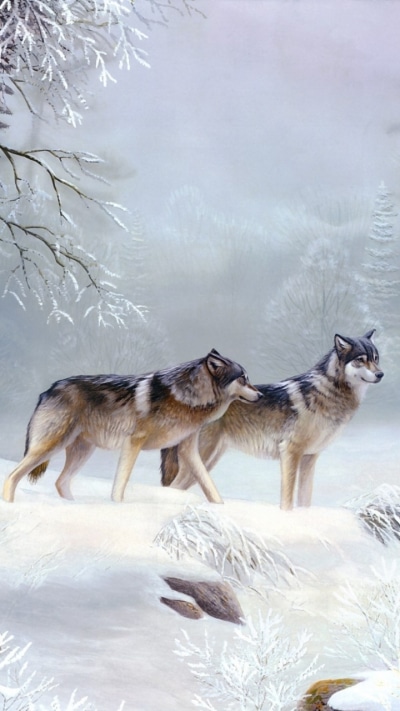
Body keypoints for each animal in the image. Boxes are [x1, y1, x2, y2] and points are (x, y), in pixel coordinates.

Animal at [2, 349, 261, 503]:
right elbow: (120, 483)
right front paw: (117, 509)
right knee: (12, 476)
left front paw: (220, 508)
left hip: (81, 451)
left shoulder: (188, 449)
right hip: (50, 446)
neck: (188, 398)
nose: (260, 395)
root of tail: (48, 390)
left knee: (60, 482)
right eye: (243, 379)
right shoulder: (133, 442)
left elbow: (209, 485)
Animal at [161, 331, 384, 510]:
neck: (330, 394)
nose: (381, 374)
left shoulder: (309, 457)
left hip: (209, 460)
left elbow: (305, 499)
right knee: (172, 487)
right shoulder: (290, 452)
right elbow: (287, 501)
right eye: (361, 359)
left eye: (376, 358)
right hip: (202, 459)